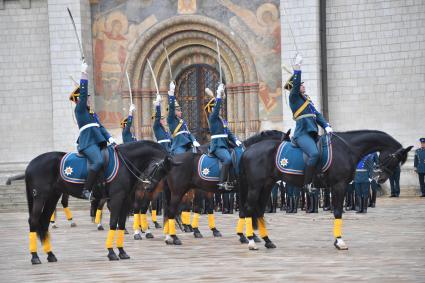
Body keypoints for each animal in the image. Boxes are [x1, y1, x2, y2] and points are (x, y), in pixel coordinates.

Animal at [24, 141, 175, 266]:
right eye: (162, 168)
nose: (150, 187)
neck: (125, 164)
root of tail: (31, 164)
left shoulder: (125, 200)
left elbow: (121, 224)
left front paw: (122, 252)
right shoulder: (117, 199)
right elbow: (113, 223)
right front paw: (111, 252)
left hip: (52, 196)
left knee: (44, 221)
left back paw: (50, 254)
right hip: (40, 197)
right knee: (34, 221)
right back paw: (35, 256)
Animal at [238, 130, 410, 251]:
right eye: (395, 159)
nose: (380, 179)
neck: (347, 148)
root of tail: (247, 151)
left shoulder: (337, 187)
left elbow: (337, 211)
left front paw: (337, 240)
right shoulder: (339, 185)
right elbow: (338, 211)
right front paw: (340, 241)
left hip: (267, 185)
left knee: (259, 210)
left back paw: (267, 241)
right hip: (255, 186)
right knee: (248, 208)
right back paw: (251, 241)